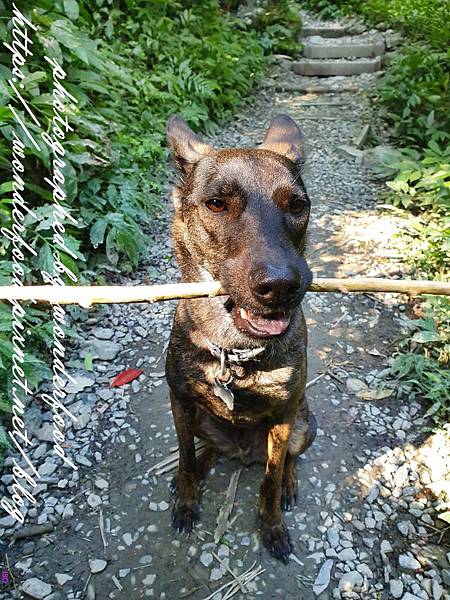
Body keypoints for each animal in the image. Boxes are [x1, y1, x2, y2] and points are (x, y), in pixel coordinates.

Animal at [165, 112, 316, 564]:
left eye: (297, 206)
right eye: (216, 203)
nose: (281, 286)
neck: (234, 349)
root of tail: (242, 453)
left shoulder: (284, 417)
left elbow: (270, 478)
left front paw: (272, 524)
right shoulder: (179, 401)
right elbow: (183, 458)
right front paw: (186, 498)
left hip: (304, 425)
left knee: (285, 461)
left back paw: (288, 483)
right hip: (200, 419)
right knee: (204, 448)